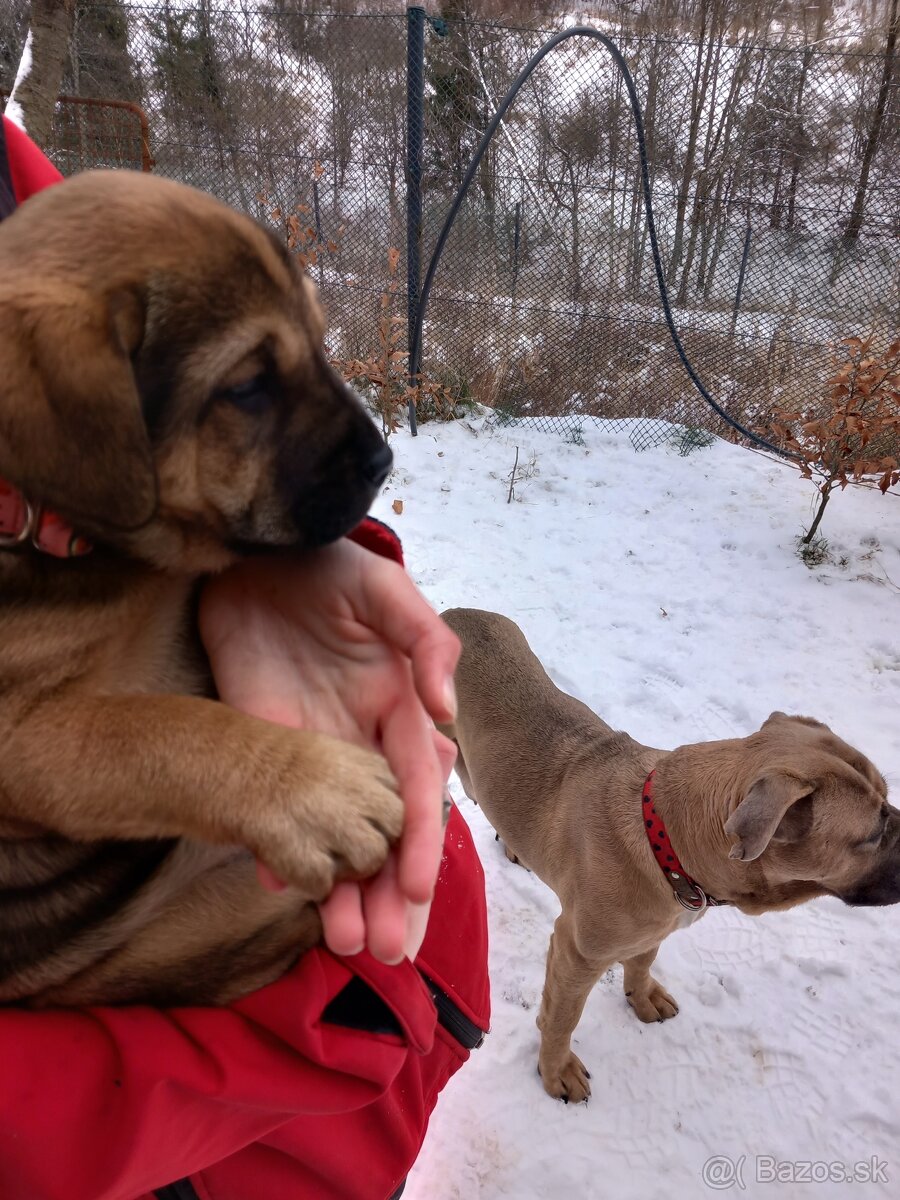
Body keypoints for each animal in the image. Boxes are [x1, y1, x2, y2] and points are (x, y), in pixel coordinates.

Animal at [444, 609, 900, 1104]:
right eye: (873, 834)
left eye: (888, 796)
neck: (663, 836)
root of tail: (453, 613)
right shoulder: (577, 951)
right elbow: (563, 1018)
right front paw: (556, 1069)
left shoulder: (659, 921)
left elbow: (643, 960)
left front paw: (642, 997)